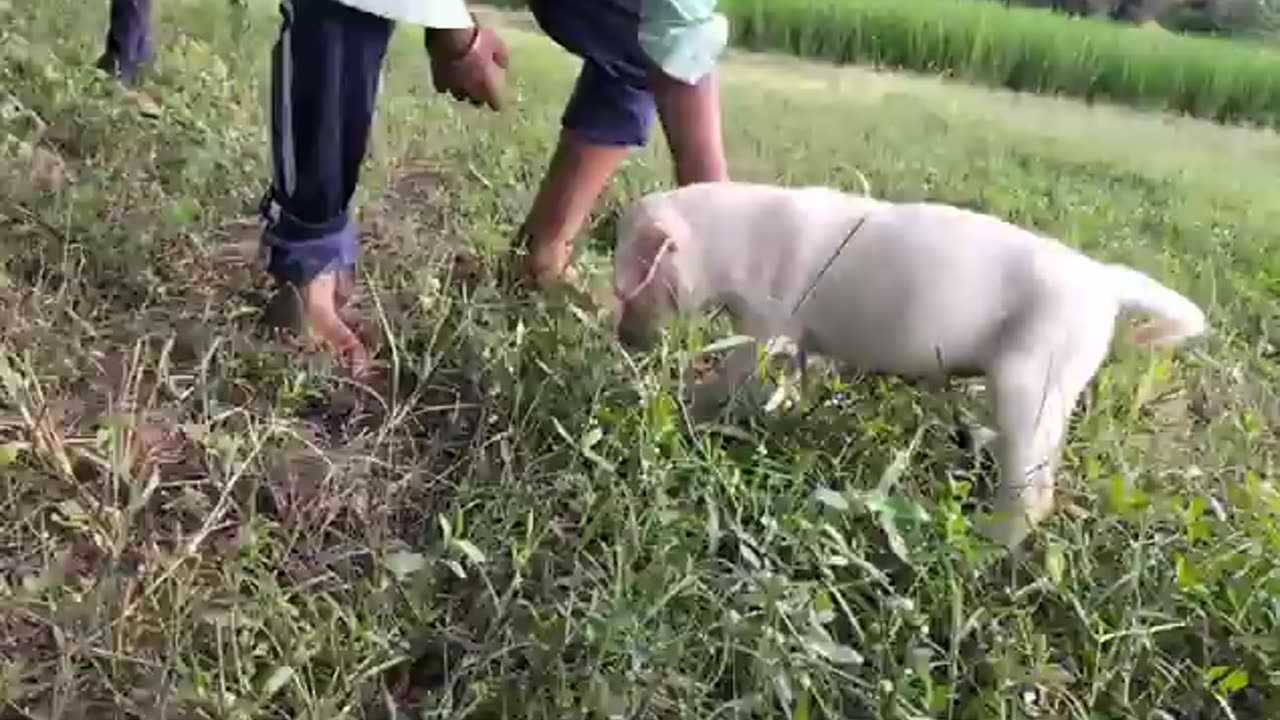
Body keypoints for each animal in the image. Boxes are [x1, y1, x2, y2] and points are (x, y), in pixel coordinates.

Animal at [609, 179, 1208, 543]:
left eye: (629, 287)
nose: (622, 340)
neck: (731, 238)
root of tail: (1105, 281)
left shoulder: (765, 326)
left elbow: (737, 375)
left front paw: (696, 406)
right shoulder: (793, 340)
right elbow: (790, 378)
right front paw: (775, 411)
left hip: (1027, 380)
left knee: (1033, 491)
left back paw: (990, 538)